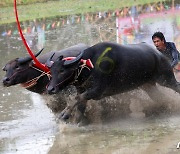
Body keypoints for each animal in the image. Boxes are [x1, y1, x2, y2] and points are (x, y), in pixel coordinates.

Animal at [47, 41, 180, 122]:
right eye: (51, 71)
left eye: (62, 70)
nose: (50, 89)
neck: (89, 66)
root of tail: (159, 55)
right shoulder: (82, 90)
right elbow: (80, 104)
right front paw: (73, 119)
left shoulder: (97, 91)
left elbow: (76, 99)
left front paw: (63, 114)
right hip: (147, 85)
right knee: (159, 97)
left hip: (165, 79)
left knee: (176, 86)